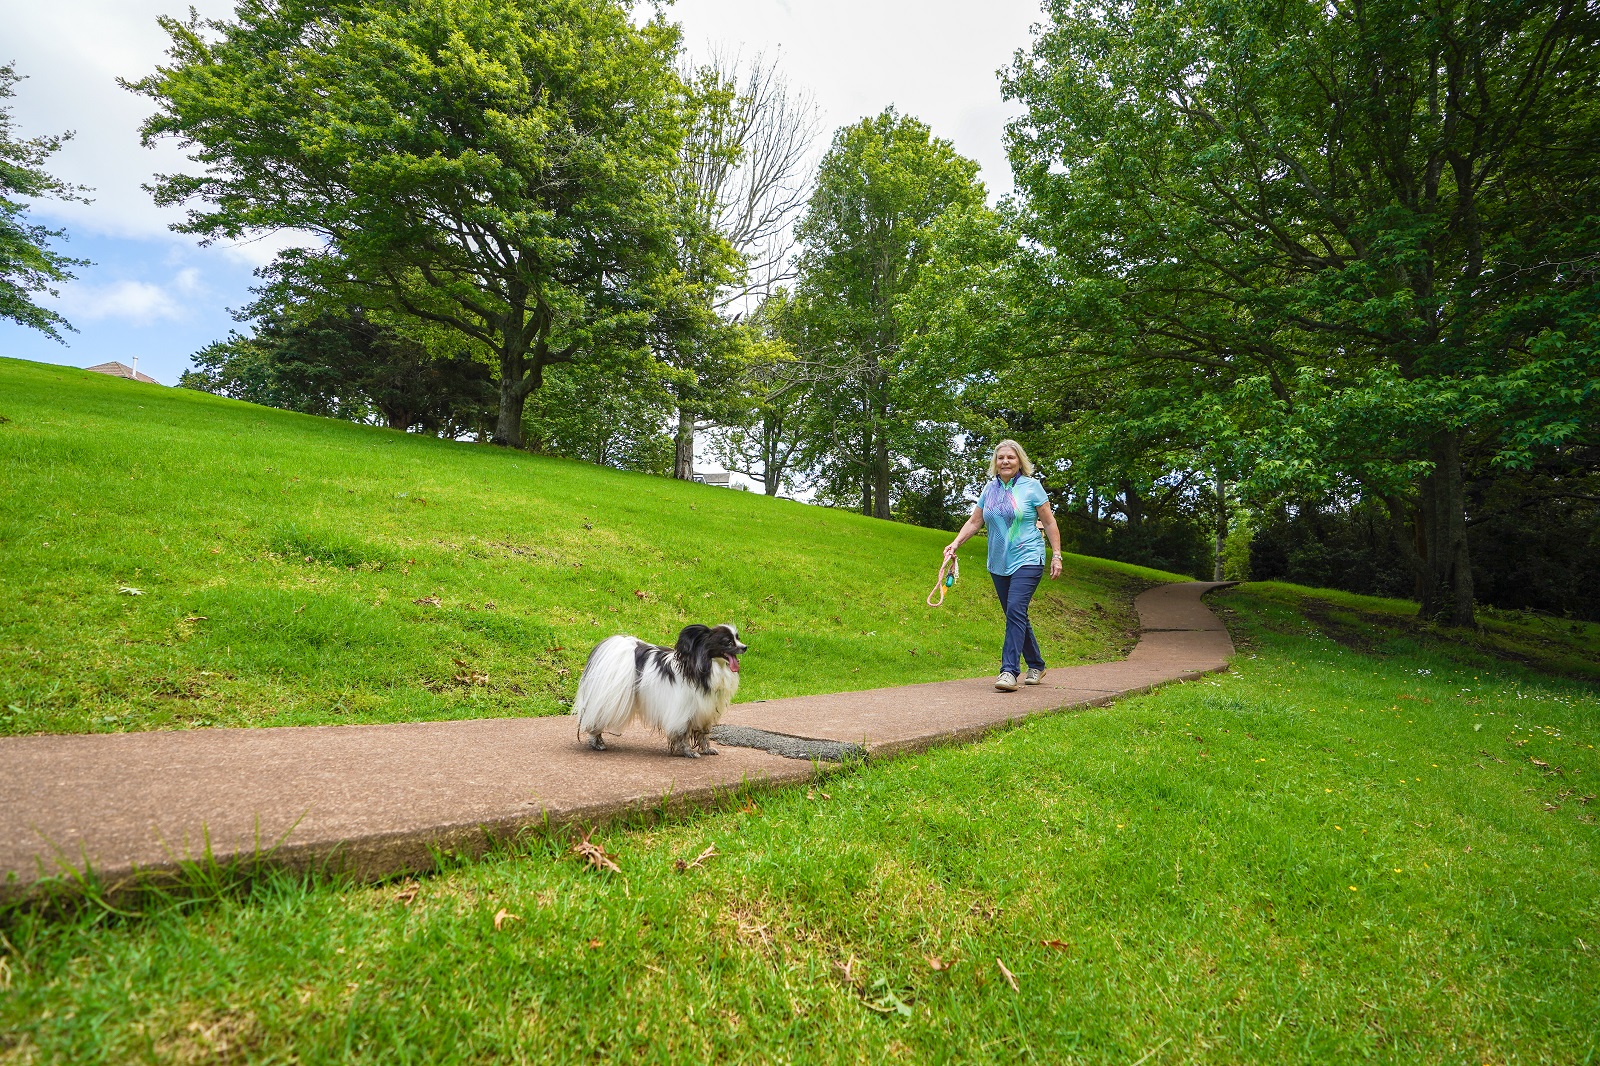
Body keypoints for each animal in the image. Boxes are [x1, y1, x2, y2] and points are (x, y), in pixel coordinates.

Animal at [576, 617, 748, 758]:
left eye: (738, 638)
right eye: (728, 642)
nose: (745, 647)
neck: (706, 667)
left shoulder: (706, 710)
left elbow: (704, 734)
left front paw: (707, 749)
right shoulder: (683, 710)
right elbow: (683, 734)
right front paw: (688, 752)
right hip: (609, 702)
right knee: (595, 721)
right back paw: (596, 743)